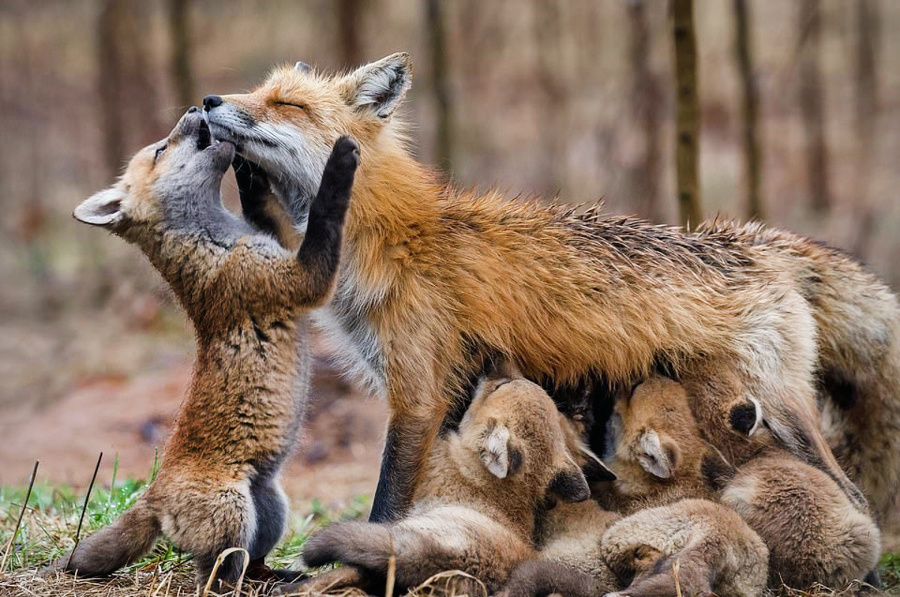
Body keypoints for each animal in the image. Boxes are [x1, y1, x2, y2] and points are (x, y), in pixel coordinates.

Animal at [204, 53, 900, 520]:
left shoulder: (418, 396)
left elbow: (386, 504)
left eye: (287, 106)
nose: (207, 101)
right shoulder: (452, 396)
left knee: (854, 494)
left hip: (781, 411)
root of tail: (753, 240)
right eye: (260, 91)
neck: (393, 237)